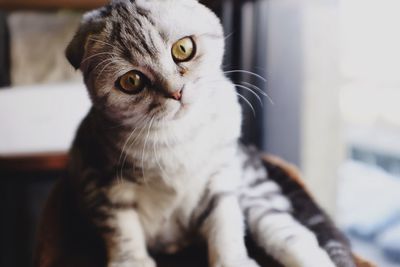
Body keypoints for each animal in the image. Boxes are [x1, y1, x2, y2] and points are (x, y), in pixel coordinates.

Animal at [65, 0, 356, 267]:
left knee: (295, 236)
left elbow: (225, 225)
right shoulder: (102, 183)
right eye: (131, 81)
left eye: (183, 48)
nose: (176, 92)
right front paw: (132, 261)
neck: (179, 136)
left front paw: (233, 260)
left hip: (256, 198)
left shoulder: (219, 179)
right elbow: (122, 230)